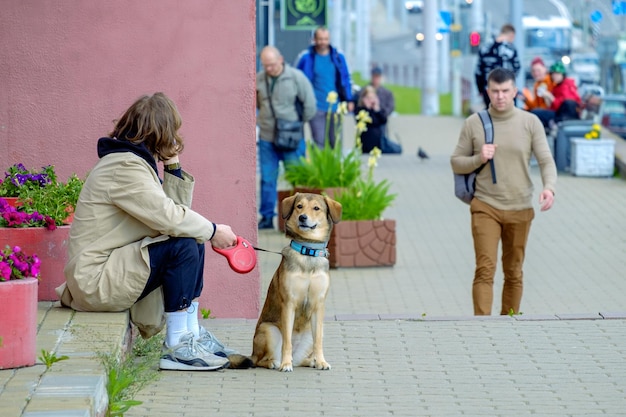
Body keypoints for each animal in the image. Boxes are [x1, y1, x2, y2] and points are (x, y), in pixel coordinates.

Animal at [229, 192, 338, 370]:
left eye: (316, 208)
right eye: (299, 206)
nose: (302, 217)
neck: (308, 251)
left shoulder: (318, 304)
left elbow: (318, 342)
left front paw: (321, 361)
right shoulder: (289, 303)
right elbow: (287, 341)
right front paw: (286, 365)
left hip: (311, 333)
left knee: (302, 358)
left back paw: (311, 361)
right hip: (269, 330)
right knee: (260, 360)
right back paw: (276, 362)